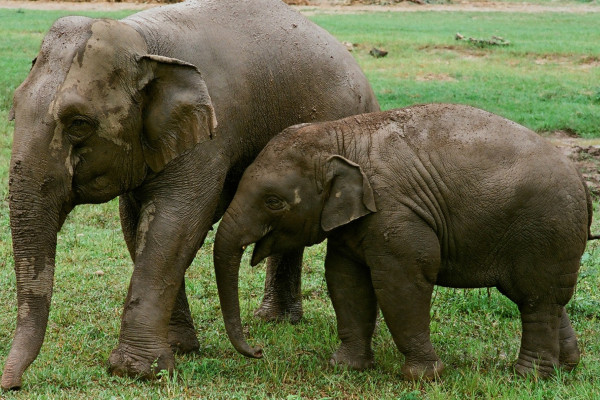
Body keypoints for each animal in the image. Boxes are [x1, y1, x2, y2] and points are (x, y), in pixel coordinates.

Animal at [3, 0, 380, 390]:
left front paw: (137, 370)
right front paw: (178, 349)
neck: (145, 42)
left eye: (78, 123)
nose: (13, 385)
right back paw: (274, 320)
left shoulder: (212, 134)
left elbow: (175, 224)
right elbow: (136, 224)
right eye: (14, 109)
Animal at [213, 103, 592, 378]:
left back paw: (528, 376)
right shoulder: (353, 223)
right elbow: (345, 279)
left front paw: (422, 377)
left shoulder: (395, 213)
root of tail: (582, 180)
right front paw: (346, 368)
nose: (258, 351)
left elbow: (402, 282)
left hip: (545, 229)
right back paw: (566, 366)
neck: (340, 135)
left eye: (273, 201)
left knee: (536, 300)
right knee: (545, 298)